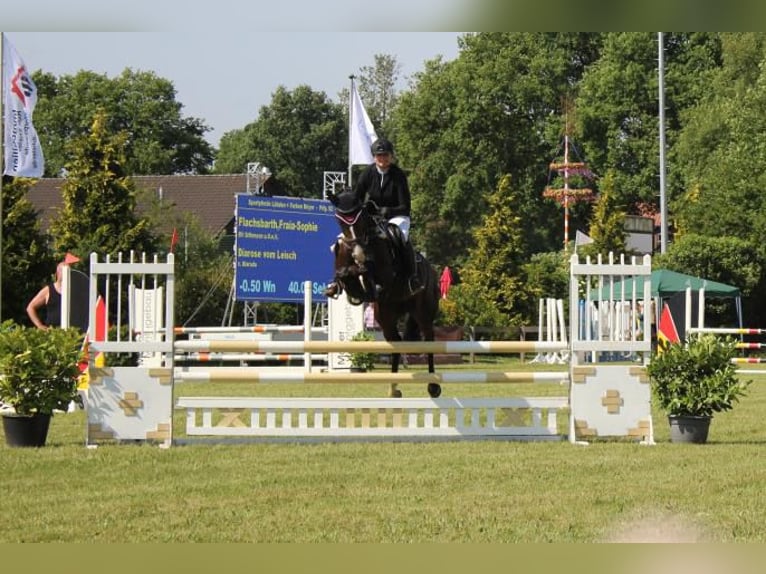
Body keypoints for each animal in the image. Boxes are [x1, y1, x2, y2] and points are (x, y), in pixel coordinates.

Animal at [328, 191, 440, 398]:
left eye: (359, 218)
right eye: (340, 220)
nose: (357, 252)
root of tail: (431, 270)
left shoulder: (386, 274)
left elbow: (367, 271)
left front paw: (365, 277)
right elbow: (345, 274)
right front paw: (349, 283)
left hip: (423, 312)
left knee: (429, 339)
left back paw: (433, 386)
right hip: (386, 315)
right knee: (396, 342)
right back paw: (393, 388)